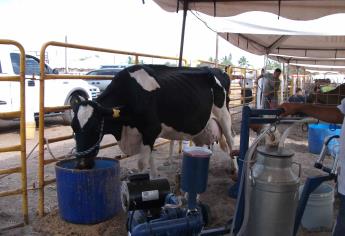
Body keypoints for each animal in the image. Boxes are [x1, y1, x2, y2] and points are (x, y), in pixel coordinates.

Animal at [71, 63, 235, 176]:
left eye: (96, 127)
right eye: (73, 128)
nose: (82, 165)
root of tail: (217, 70)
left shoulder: (150, 130)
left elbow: (142, 164)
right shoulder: (144, 136)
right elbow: (150, 160)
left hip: (224, 115)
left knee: (231, 142)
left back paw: (234, 169)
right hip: (201, 127)